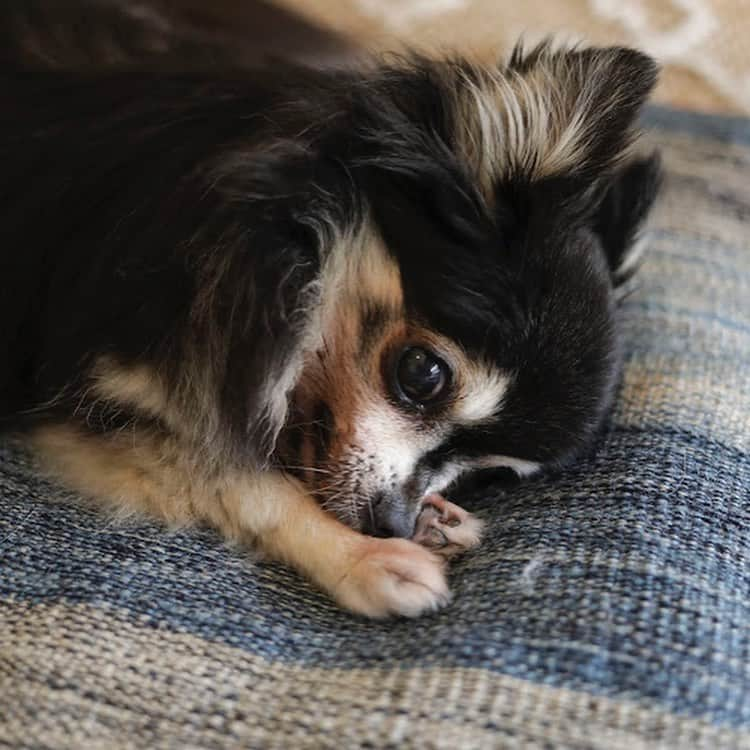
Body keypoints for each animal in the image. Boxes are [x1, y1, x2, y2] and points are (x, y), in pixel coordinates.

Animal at [0, 2, 664, 620]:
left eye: (488, 472)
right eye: (422, 373)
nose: (393, 524)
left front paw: (434, 517)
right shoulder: (86, 396)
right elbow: (240, 478)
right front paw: (363, 558)